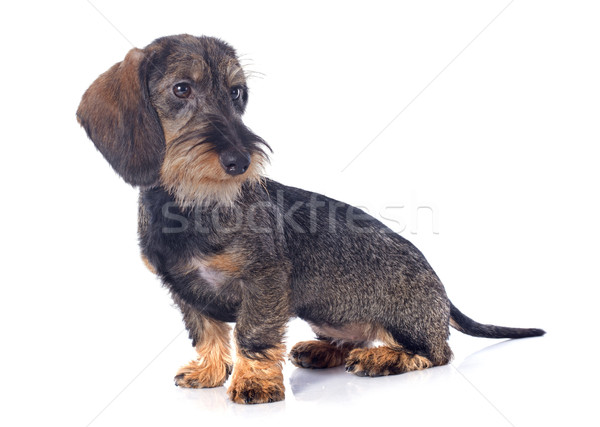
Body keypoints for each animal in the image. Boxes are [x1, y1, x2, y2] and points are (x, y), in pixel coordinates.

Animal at [77, 34, 548, 404]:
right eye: (181, 88)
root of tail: (442, 294)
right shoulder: (183, 290)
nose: (240, 161)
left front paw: (254, 383)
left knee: (436, 353)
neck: (189, 205)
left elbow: (253, 333)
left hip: (406, 322)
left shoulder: (264, 280)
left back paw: (381, 358)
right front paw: (209, 371)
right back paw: (326, 350)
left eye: (237, 93)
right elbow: (206, 332)